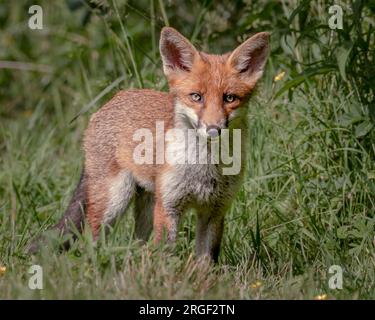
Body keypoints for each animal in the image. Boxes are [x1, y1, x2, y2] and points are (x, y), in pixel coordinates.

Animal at [29, 26, 270, 262]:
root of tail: (111, 100)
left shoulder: (215, 210)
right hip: (115, 201)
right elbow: (164, 256)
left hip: (146, 206)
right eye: (196, 97)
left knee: (137, 243)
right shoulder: (169, 206)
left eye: (229, 98)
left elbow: (205, 261)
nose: (213, 129)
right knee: (91, 241)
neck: (204, 167)